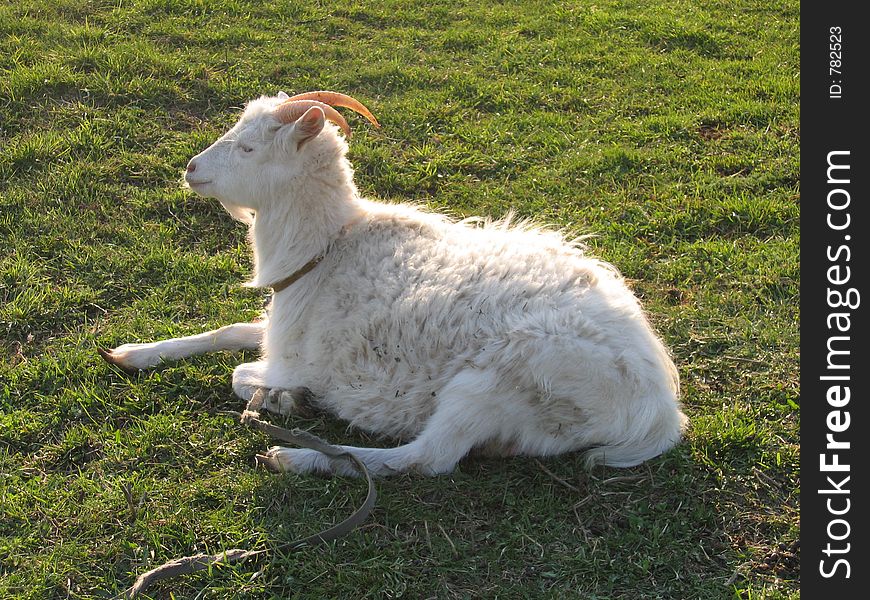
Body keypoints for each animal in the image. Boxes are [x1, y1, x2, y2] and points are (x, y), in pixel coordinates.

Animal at [100, 91, 688, 476]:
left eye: (248, 149)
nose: (191, 169)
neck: (327, 251)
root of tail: (659, 410)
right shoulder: (278, 330)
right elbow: (227, 333)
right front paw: (134, 353)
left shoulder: (304, 359)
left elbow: (241, 375)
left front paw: (288, 401)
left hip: (496, 381)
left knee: (428, 458)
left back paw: (301, 455)